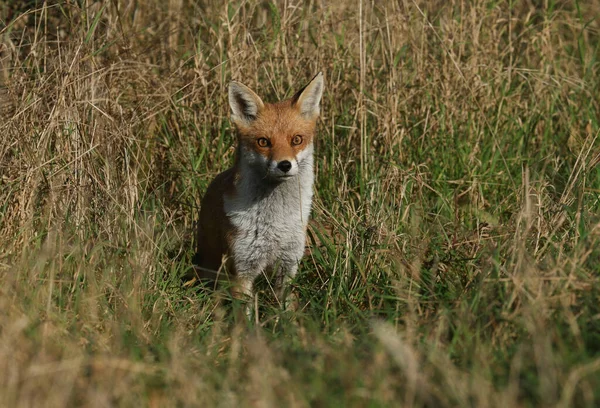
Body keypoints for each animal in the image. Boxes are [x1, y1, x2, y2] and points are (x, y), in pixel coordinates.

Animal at [195, 73, 324, 310]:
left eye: (296, 139)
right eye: (263, 142)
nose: (284, 165)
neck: (276, 222)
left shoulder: (287, 266)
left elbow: (287, 309)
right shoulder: (242, 270)